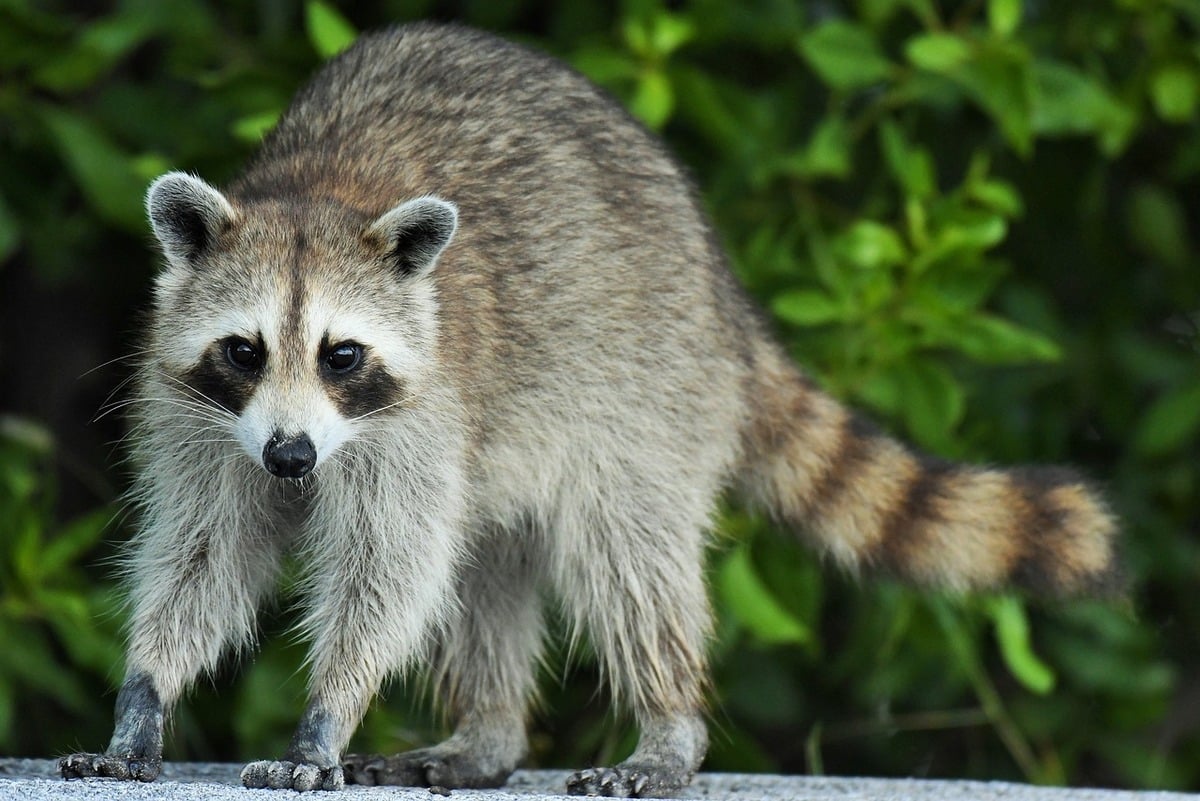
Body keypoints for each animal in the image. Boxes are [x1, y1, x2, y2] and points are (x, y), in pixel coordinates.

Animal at [58, 21, 1123, 796]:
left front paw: (325, 714)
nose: (288, 460)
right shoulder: (196, 416)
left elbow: (386, 569)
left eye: (342, 355)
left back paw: (668, 724)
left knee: (627, 556)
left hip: (644, 389)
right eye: (245, 350)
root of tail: (721, 293)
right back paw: (487, 735)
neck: (317, 190)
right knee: (487, 569)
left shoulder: (420, 416)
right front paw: (145, 692)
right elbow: (203, 550)